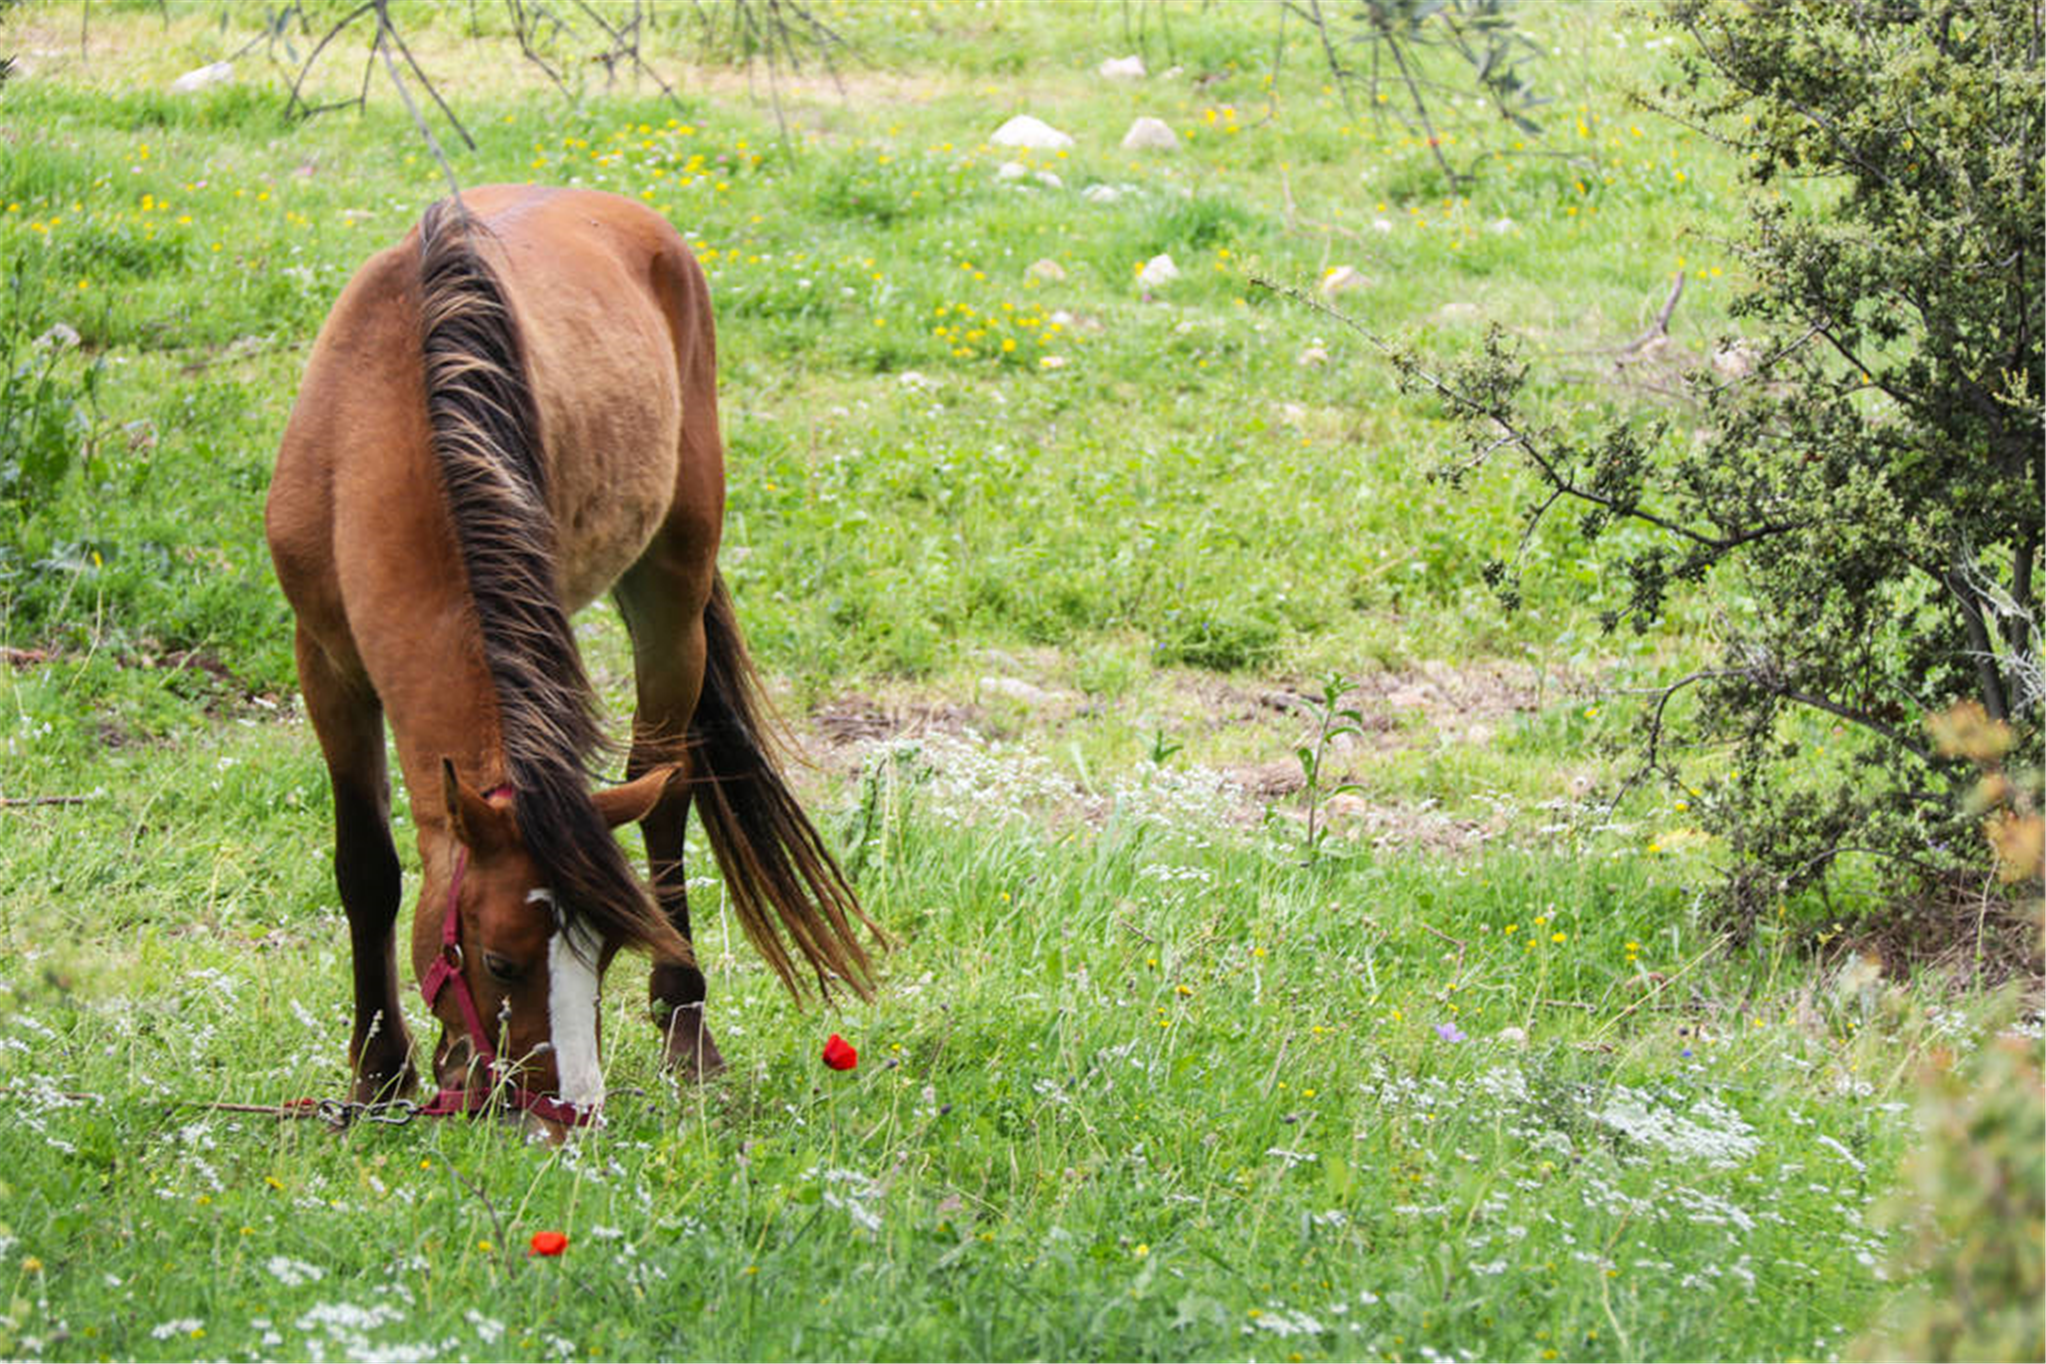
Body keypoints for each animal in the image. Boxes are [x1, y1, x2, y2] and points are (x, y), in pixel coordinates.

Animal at [265, 184, 879, 1145]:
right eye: (497, 960)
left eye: (609, 950)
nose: (570, 1112)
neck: (385, 422)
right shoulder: (325, 661)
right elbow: (368, 869)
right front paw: (381, 1074)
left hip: (670, 599)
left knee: (663, 795)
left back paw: (685, 1027)